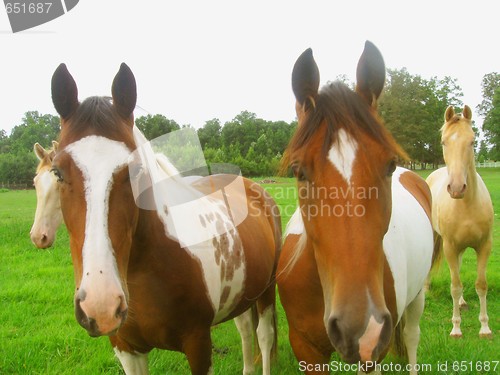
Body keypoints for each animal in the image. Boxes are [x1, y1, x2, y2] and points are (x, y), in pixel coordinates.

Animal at [50, 63, 282, 374]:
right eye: (57, 172)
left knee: (264, 336)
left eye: (136, 170)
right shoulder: (127, 349)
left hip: (267, 290)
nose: (101, 305)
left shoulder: (198, 344)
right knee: (246, 331)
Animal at [276, 39, 436, 374]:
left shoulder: (374, 352)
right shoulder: (306, 350)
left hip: (417, 297)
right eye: (298, 171)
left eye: (389, 165)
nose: (361, 327)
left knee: (412, 337)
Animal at [424, 105, 494, 338]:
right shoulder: (450, 246)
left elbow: (481, 285)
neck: (467, 206)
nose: (456, 188)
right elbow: (455, 286)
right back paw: (425, 289)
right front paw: (456, 328)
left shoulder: (484, 246)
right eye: (444, 142)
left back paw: (462, 303)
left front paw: (485, 327)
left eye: (472, 141)